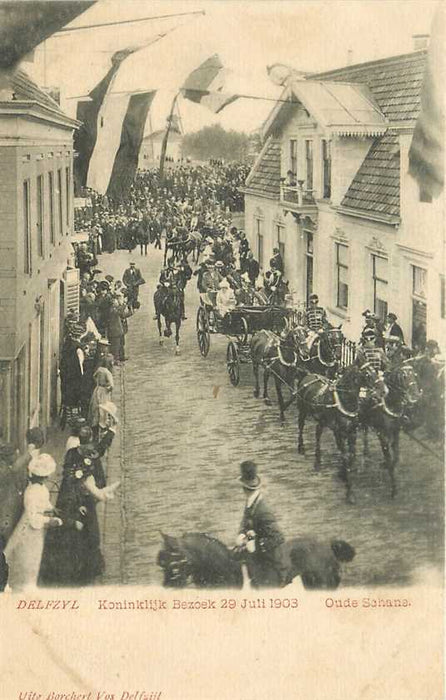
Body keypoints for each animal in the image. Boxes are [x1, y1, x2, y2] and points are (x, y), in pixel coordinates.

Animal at [294, 360, 378, 504]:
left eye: (375, 370)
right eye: (367, 373)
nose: (382, 390)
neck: (344, 400)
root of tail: (308, 375)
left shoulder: (352, 432)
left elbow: (351, 454)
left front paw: (344, 472)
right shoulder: (340, 433)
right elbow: (344, 455)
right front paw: (349, 491)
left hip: (322, 421)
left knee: (318, 433)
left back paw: (318, 458)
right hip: (303, 411)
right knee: (301, 427)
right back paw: (302, 447)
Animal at [360, 360, 424, 498]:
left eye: (415, 374)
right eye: (404, 377)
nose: (415, 396)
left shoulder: (396, 430)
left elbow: (396, 452)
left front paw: (388, 464)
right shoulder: (382, 433)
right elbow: (389, 456)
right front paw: (394, 488)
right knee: (363, 432)